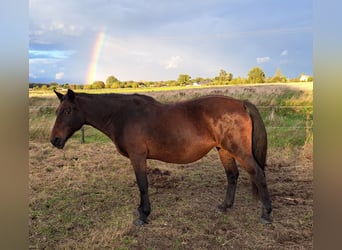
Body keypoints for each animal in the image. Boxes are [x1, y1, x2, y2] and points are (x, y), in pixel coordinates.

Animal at [50, 89, 272, 225]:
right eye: (57, 111)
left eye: (68, 111)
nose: (55, 140)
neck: (122, 115)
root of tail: (241, 103)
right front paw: (141, 210)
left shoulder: (138, 157)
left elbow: (143, 184)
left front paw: (144, 215)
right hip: (224, 149)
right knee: (232, 175)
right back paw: (225, 206)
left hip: (239, 151)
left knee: (259, 174)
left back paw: (266, 214)